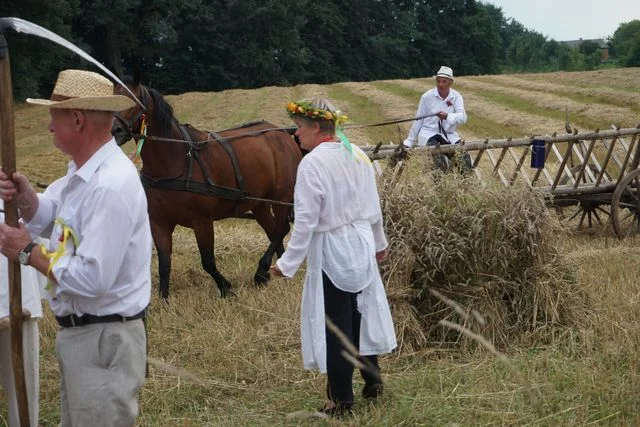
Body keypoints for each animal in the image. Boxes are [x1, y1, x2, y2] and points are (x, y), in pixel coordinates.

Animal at [111, 74, 302, 300]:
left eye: (132, 100)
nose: (115, 130)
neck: (175, 160)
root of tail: (283, 135)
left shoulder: (202, 220)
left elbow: (208, 261)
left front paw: (226, 287)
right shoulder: (159, 222)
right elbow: (164, 264)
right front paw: (164, 300)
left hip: (281, 196)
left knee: (281, 228)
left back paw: (262, 272)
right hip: (259, 203)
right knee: (275, 232)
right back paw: (280, 269)